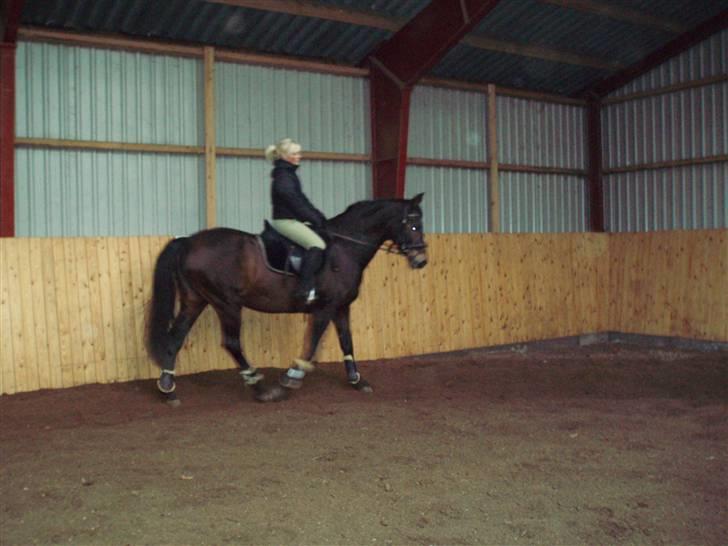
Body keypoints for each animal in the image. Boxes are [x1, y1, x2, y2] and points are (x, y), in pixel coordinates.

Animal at [144, 191, 426, 400]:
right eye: (413, 224)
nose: (421, 260)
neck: (344, 249)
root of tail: (188, 241)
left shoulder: (341, 306)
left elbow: (347, 342)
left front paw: (357, 380)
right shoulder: (325, 307)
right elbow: (312, 343)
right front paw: (291, 377)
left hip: (195, 300)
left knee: (175, 337)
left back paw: (167, 388)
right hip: (227, 304)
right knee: (232, 343)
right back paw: (260, 388)